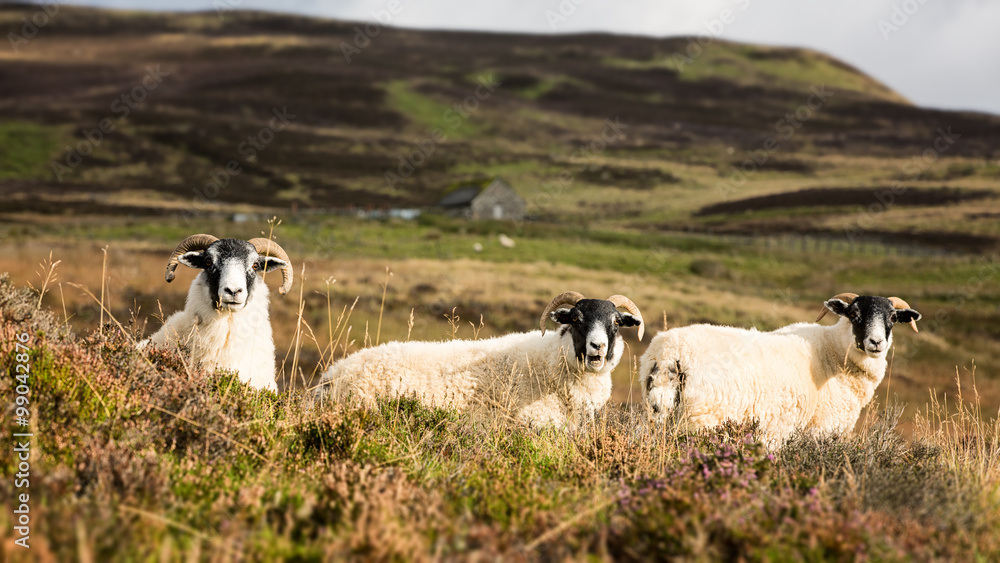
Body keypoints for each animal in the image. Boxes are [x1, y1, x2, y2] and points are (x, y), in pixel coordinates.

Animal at [640, 293, 921, 445]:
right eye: (854, 315)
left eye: (892, 318)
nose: (876, 342)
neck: (833, 353)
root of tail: (671, 352)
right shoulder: (816, 429)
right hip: (701, 421)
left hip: (659, 413)